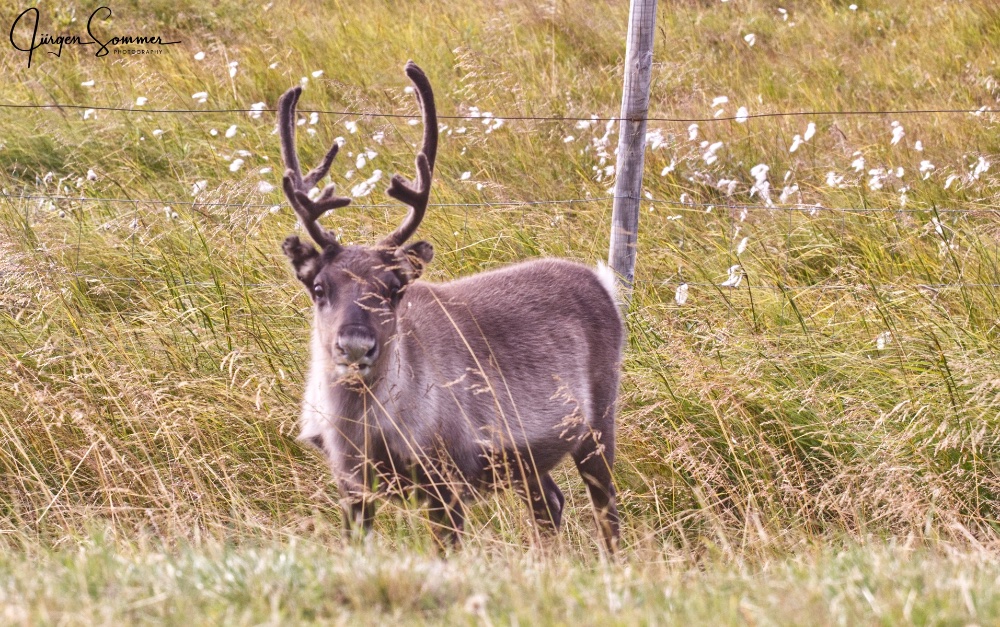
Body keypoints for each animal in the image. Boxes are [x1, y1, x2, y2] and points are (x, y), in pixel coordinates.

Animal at [278, 61, 623, 553]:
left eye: (393, 289)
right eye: (319, 287)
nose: (355, 346)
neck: (365, 433)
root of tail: (603, 281)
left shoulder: (446, 479)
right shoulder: (351, 486)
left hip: (598, 423)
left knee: (606, 510)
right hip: (527, 458)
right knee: (550, 503)